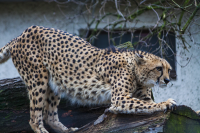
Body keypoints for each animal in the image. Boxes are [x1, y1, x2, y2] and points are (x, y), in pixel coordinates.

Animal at [0, 25, 176, 132]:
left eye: (169, 70)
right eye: (159, 68)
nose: (167, 80)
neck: (136, 71)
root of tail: (23, 33)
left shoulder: (139, 95)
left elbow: (145, 103)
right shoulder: (119, 97)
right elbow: (144, 104)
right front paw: (166, 103)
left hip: (55, 83)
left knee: (49, 116)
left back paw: (66, 130)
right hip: (37, 79)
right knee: (35, 118)